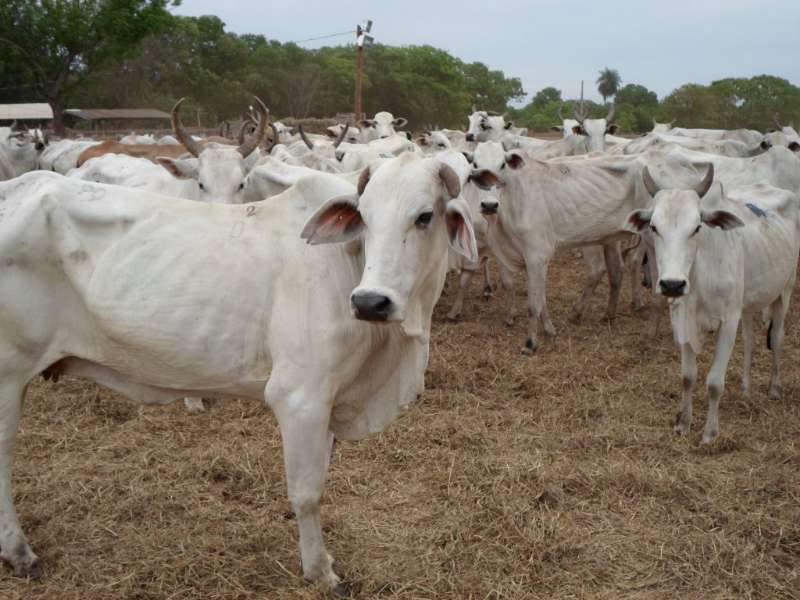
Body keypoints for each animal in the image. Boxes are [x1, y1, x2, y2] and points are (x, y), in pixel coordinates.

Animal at [0, 151, 476, 592]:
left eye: (424, 216)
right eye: (364, 215)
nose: (370, 302)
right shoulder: (300, 398)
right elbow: (307, 492)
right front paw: (320, 571)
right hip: (8, 375)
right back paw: (20, 553)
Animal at [625, 166, 800, 443]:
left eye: (697, 227)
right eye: (653, 226)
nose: (672, 284)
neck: (698, 280)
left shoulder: (728, 321)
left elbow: (715, 382)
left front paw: (710, 433)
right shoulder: (682, 321)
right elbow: (688, 377)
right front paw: (684, 423)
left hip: (785, 289)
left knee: (778, 337)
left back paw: (775, 388)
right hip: (747, 302)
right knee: (749, 340)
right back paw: (746, 389)